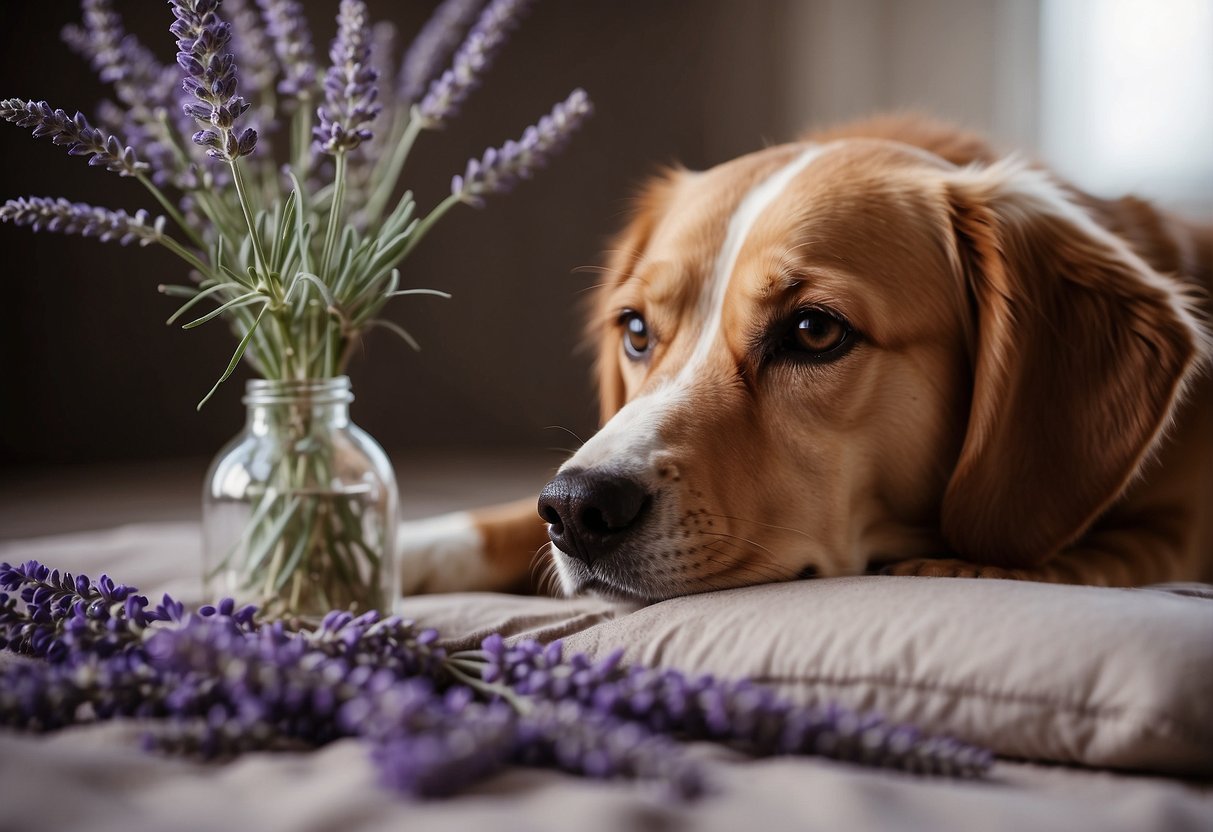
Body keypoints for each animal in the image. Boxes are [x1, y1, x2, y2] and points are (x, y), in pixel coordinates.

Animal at [400, 115, 1213, 599]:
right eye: (635, 331)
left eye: (815, 331)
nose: (574, 508)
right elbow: (502, 517)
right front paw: (396, 550)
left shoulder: (1168, 536)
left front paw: (957, 562)